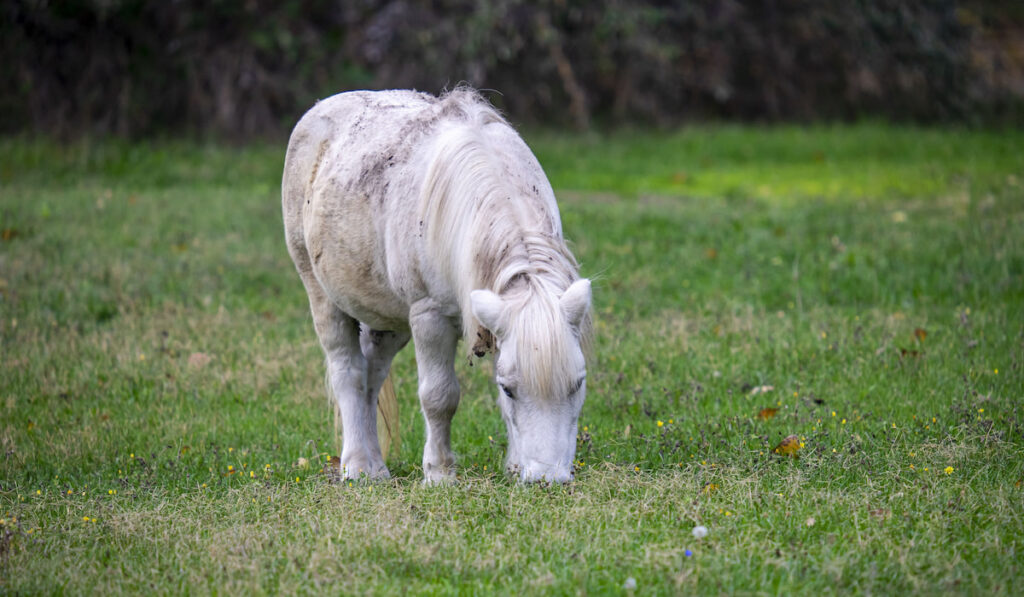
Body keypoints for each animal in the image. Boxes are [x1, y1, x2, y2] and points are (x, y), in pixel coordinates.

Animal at [284, 86, 598, 483]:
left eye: (577, 384)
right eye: (510, 390)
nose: (547, 478)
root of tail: (321, 109)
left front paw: (513, 465)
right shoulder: (429, 316)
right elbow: (439, 396)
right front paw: (439, 473)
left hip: (389, 319)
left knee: (372, 372)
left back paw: (375, 464)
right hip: (322, 293)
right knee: (349, 373)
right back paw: (357, 465)